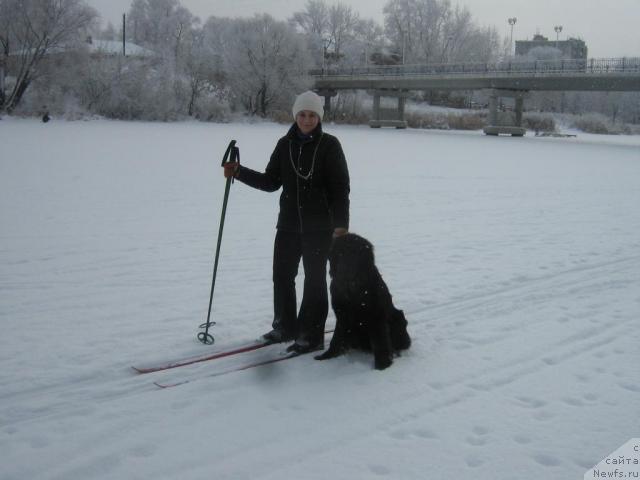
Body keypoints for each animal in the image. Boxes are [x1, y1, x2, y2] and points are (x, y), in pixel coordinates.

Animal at [314, 234, 410, 370]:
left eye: (354, 253)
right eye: (339, 253)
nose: (343, 272)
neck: (353, 291)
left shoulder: (376, 316)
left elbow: (380, 342)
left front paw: (382, 365)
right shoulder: (342, 316)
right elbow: (336, 338)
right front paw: (327, 356)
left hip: (398, 318)